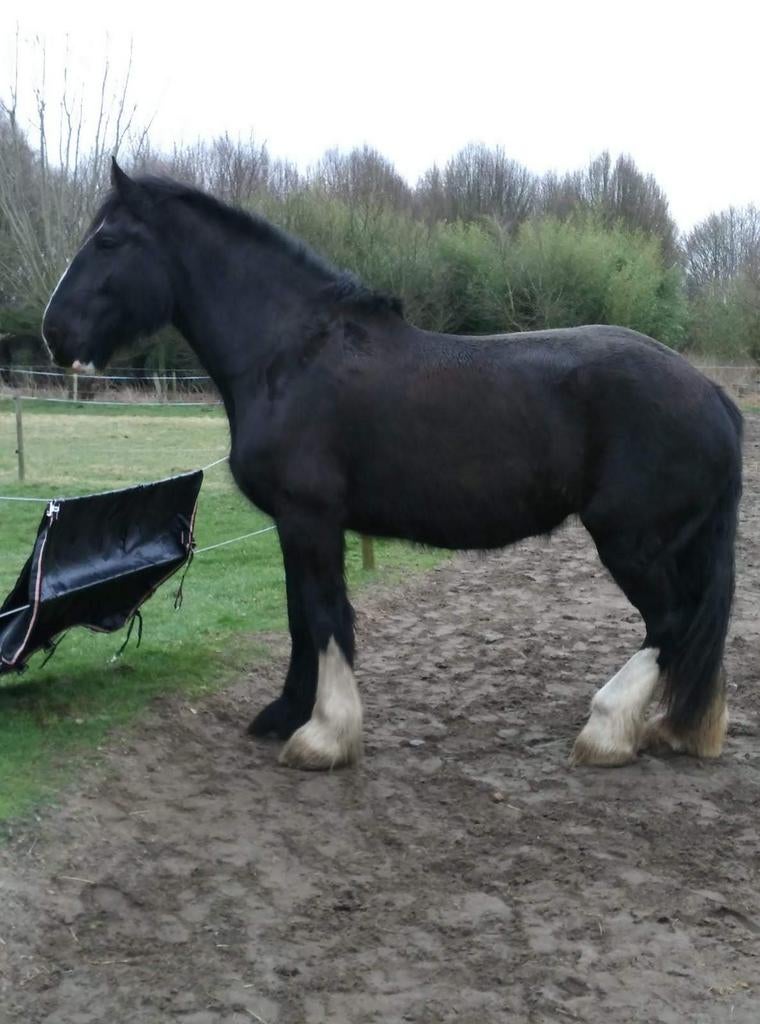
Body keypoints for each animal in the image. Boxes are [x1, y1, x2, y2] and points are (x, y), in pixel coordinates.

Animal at [41, 159, 743, 772]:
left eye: (108, 240)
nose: (55, 334)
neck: (290, 355)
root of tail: (711, 394)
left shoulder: (310, 519)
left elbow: (325, 617)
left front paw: (324, 736)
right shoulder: (295, 526)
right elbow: (300, 618)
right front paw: (287, 713)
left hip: (631, 542)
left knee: (670, 622)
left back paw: (606, 730)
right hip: (672, 544)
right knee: (692, 628)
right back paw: (674, 728)